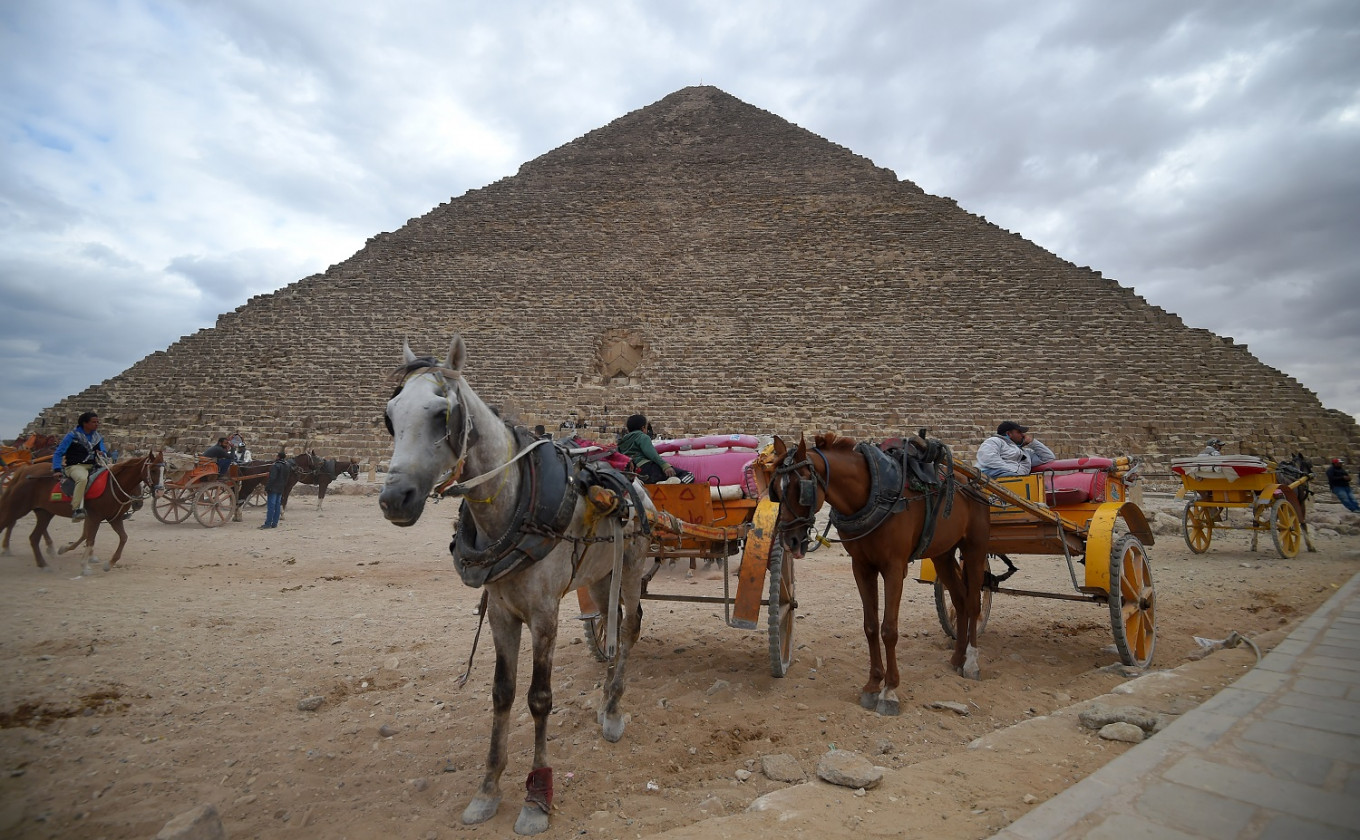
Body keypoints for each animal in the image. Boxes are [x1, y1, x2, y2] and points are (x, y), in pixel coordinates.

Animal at [0, 451, 163, 576]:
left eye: (164, 471)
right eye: (153, 470)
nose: (160, 491)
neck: (114, 485)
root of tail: (24, 471)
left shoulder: (113, 519)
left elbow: (122, 538)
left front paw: (108, 563)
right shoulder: (94, 517)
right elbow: (90, 538)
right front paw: (85, 565)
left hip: (44, 512)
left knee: (34, 537)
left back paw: (44, 563)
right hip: (17, 507)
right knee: (9, 523)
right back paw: (9, 549)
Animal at [378, 333, 652, 831]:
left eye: (442, 414)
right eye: (389, 418)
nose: (394, 499)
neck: (512, 506)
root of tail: (632, 480)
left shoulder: (544, 615)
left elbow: (539, 698)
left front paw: (536, 798)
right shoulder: (501, 613)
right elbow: (502, 693)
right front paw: (487, 789)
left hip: (631, 565)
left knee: (629, 627)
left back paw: (614, 710)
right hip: (599, 575)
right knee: (610, 620)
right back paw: (605, 696)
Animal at [777, 432, 990, 712]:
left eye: (801, 489)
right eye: (775, 489)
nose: (788, 540)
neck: (873, 492)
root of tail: (973, 482)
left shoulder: (894, 568)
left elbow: (889, 629)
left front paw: (889, 690)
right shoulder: (862, 567)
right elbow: (870, 626)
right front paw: (872, 685)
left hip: (975, 548)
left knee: (974, 603)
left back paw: (972, 662)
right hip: (942, 554)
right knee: (960, 600)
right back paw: (957, 657)